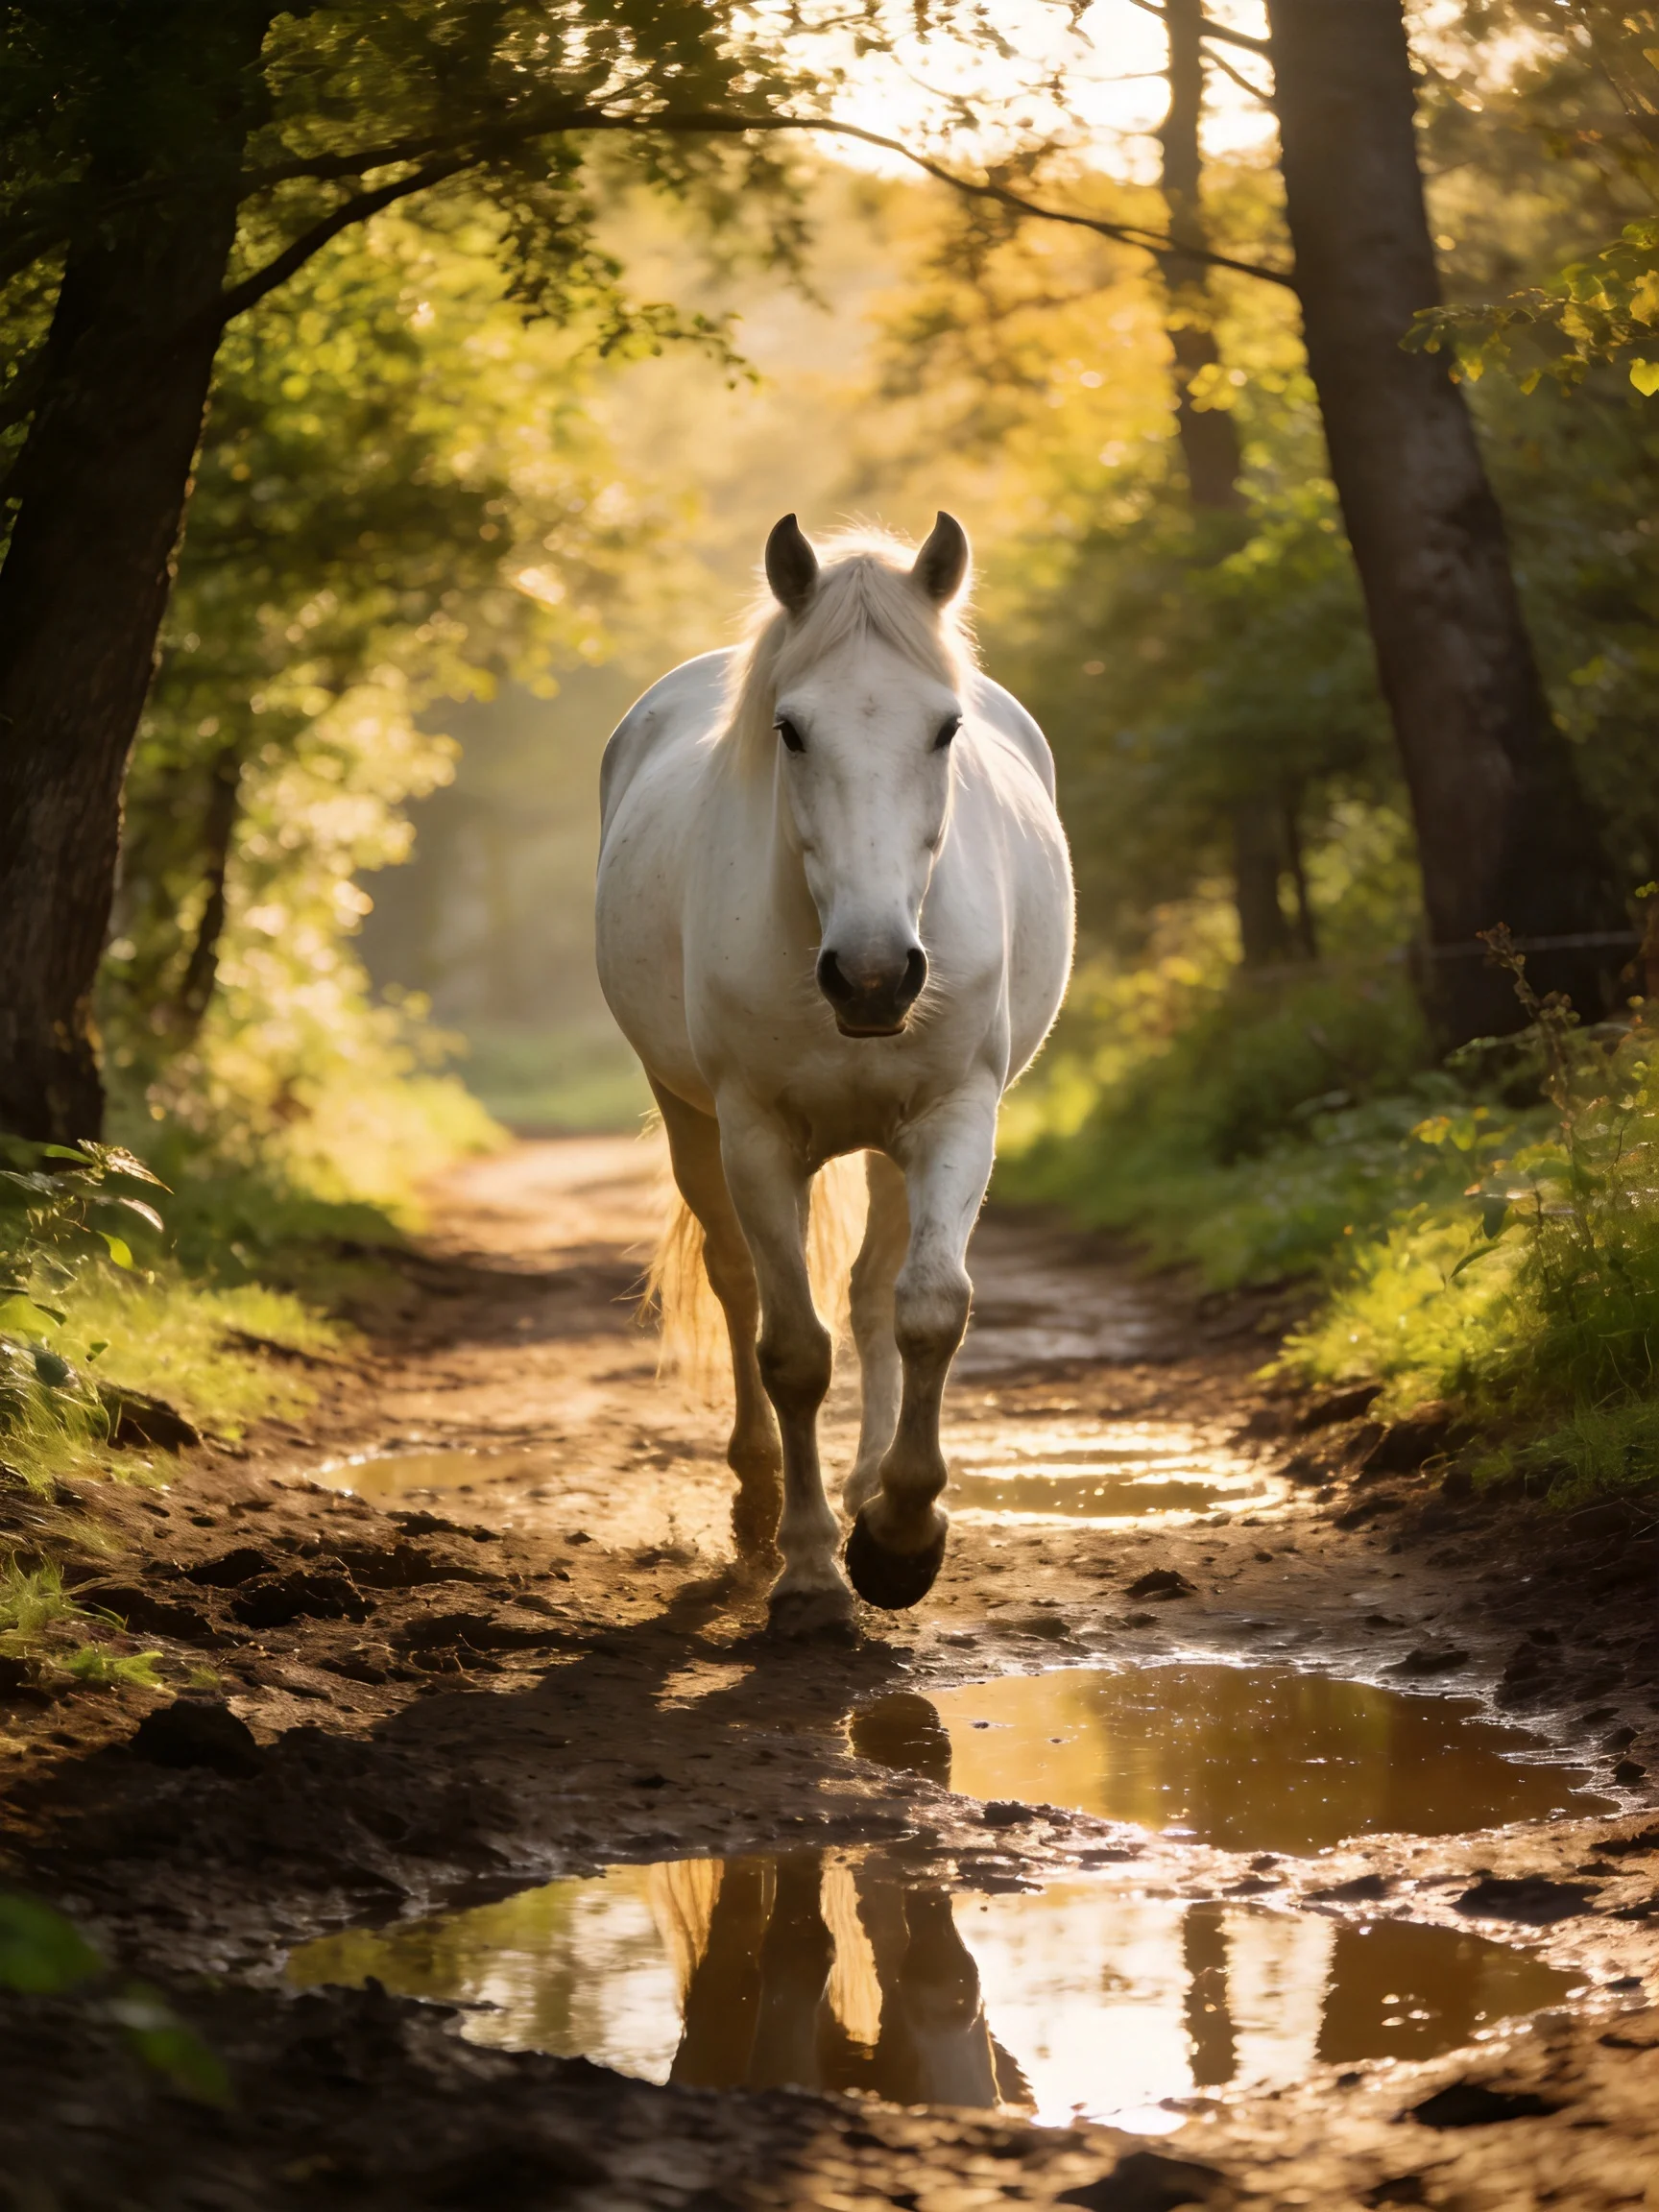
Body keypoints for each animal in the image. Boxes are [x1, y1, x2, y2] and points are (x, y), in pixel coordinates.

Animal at [595, 512, 1073, 1635]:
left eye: (944, 729)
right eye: (791, 730)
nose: (872, 976)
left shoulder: (954, 1118)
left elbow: (928, 1310)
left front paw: (900, 1539)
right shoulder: (756, 1135)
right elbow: (792, 1353)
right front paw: (811, 1571)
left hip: (896, 1147)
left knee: (870, 1295)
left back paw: (865, 1490)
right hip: (692, 1123)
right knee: (738, 1287)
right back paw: (760, 1503)